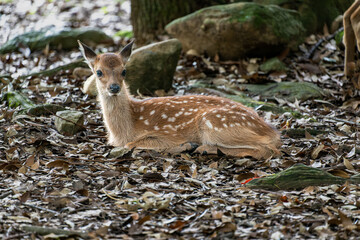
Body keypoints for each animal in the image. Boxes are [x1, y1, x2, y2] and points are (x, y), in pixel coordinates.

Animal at [78, 39, 282, 159]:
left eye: (124, 71)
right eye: (98, 72)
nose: (114, 87)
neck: (126, 127)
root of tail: (271, 130)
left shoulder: (167, 133)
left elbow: (132, 144)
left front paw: (185, 145)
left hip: (215, 124)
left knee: (268, 149)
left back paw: (203, 148)